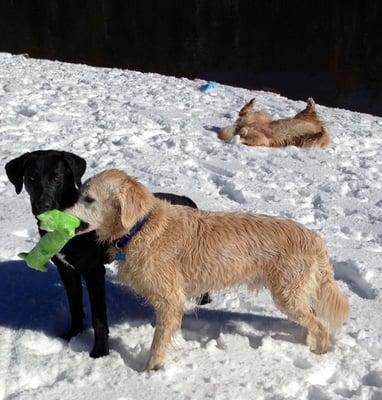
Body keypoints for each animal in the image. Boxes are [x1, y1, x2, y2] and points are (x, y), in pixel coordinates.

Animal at [4, 151, 210, 360]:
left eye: (57, 177)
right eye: (31, 178)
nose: (43, 205)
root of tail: (187, 199)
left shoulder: (94, 271)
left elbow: (99, 318)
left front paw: (100, 351)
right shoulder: (66, 270)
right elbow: (75, 306)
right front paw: (73, 334)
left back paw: (204, 301)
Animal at [66, 168, 350, 368]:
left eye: (89, 199)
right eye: (78, 194)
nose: (61, 212)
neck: (141, 227)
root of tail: (315, 239)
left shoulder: (171, 300)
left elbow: (158, 344)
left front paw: (149, 372)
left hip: (287, 295)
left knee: (321, 326)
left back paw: (320, 352)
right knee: (313, 318)